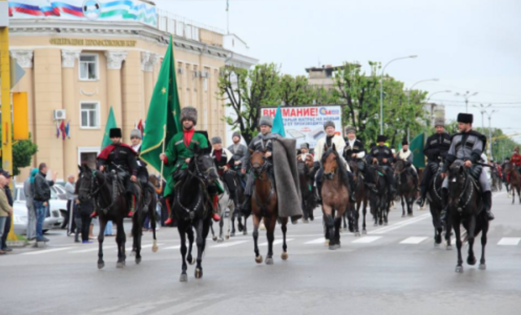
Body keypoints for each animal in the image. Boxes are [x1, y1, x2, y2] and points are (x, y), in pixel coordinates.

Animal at [172, 149, 218, 282]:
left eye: (212, 159)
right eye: (201, 161)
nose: (214, 176)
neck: (188, 194)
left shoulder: (199, 220)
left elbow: (200, 242)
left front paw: (198, 268)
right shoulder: (181, 223)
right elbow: (183, 247)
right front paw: (183, 271)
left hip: (205, 222)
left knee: (200, 239)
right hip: (187, 223)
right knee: (191, 237)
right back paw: (189, 258)